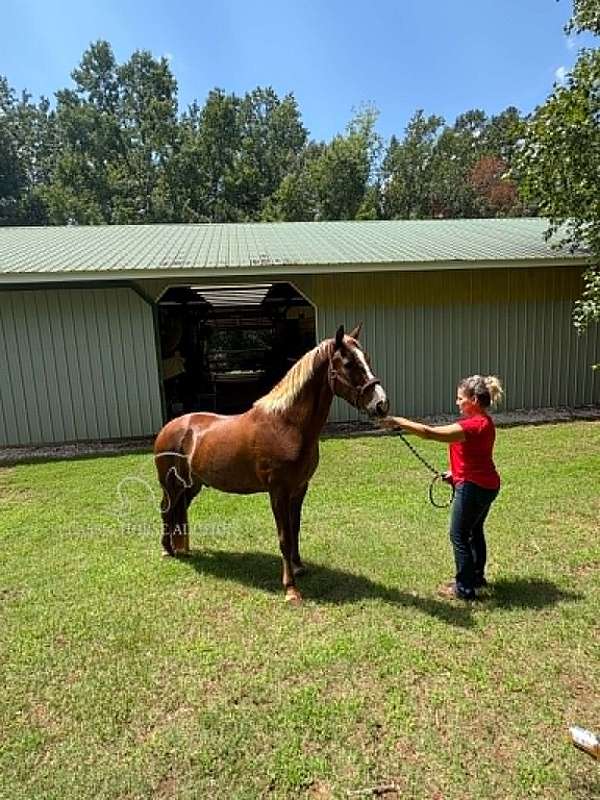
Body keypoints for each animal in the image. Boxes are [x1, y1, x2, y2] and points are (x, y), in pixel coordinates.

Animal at [153, 324, 389, 605]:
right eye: (349, 363)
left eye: (367, 359)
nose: (381, 404)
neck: (287, 424)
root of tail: (170, 427)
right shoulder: (278, 492)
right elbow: (284, 537)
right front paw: (291, 589)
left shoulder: (299, 489)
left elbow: (294, 529)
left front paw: (298, 567)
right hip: (171, 485)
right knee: (166, 510)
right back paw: (167, 550)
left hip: (192, 487)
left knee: (176, 511)